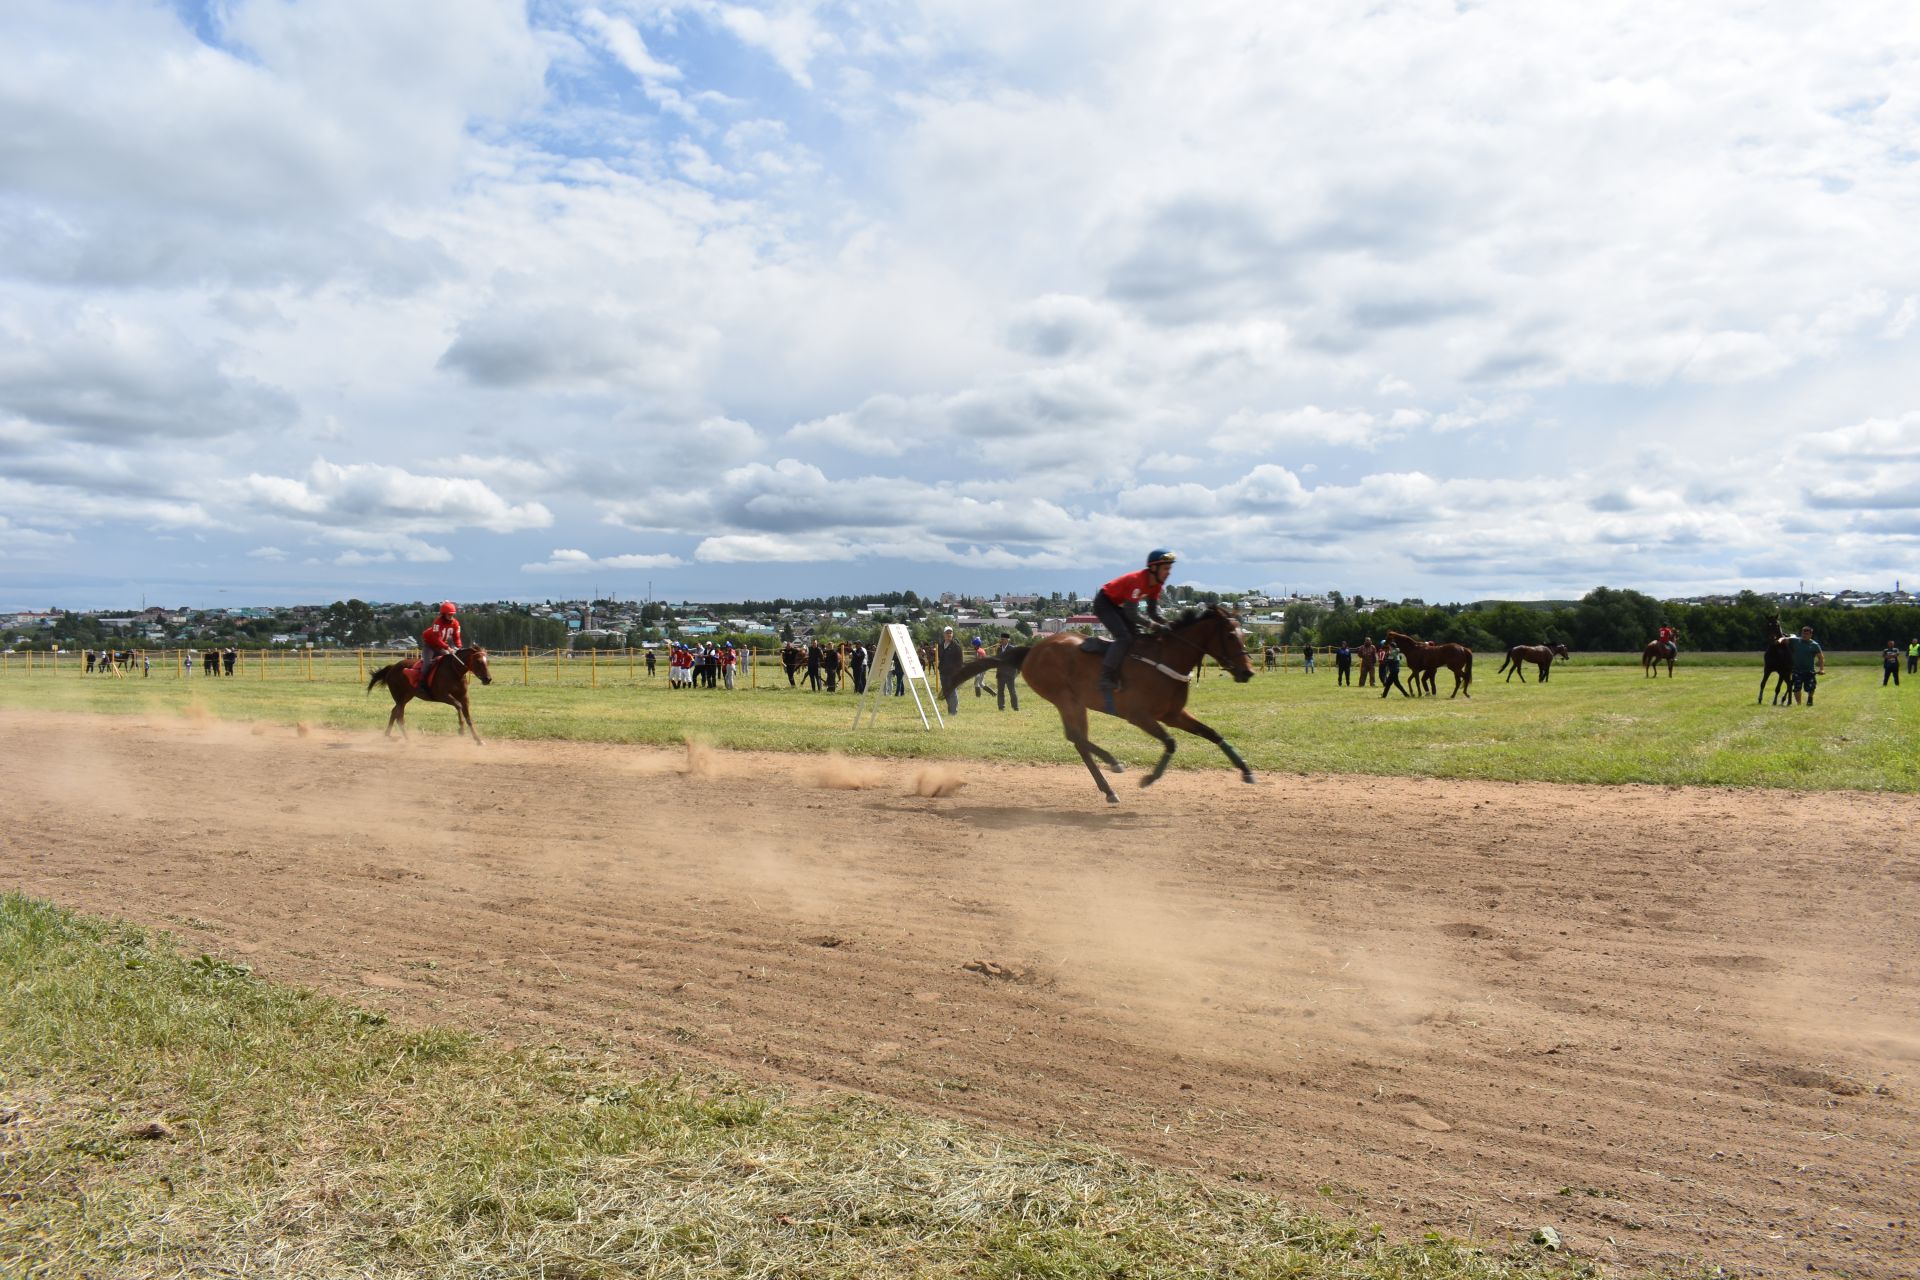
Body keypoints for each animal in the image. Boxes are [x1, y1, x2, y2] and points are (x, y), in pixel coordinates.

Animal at [362, 644, 491, 744]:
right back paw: (407, 738)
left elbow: (469, 718)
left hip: (407, 696)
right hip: (399, 696)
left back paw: (388, 735)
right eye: (478, 661)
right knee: (400, 716)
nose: (488, 679)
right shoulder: (442, 695)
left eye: (487, 662)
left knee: (394, 712)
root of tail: (392, 667)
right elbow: (458, 705)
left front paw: (478, 740)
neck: (454, 671)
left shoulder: (464, 697)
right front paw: (461, 729)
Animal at [948, 606, 1259, 805]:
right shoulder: (1139, 715)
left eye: (1245, 635)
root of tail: (1032, 650)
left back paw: (1108, 786)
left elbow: (1213, 734)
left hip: (1076, 702)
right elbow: (1171, 743)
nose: (1247, 672)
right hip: (1065, 698)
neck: (1166, 659)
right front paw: (1150, 778)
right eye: (1230, 636)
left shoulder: (1173, 714)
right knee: (1076, 737)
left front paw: (1246, 770)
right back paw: (1112, 765)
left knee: (1078, 740)